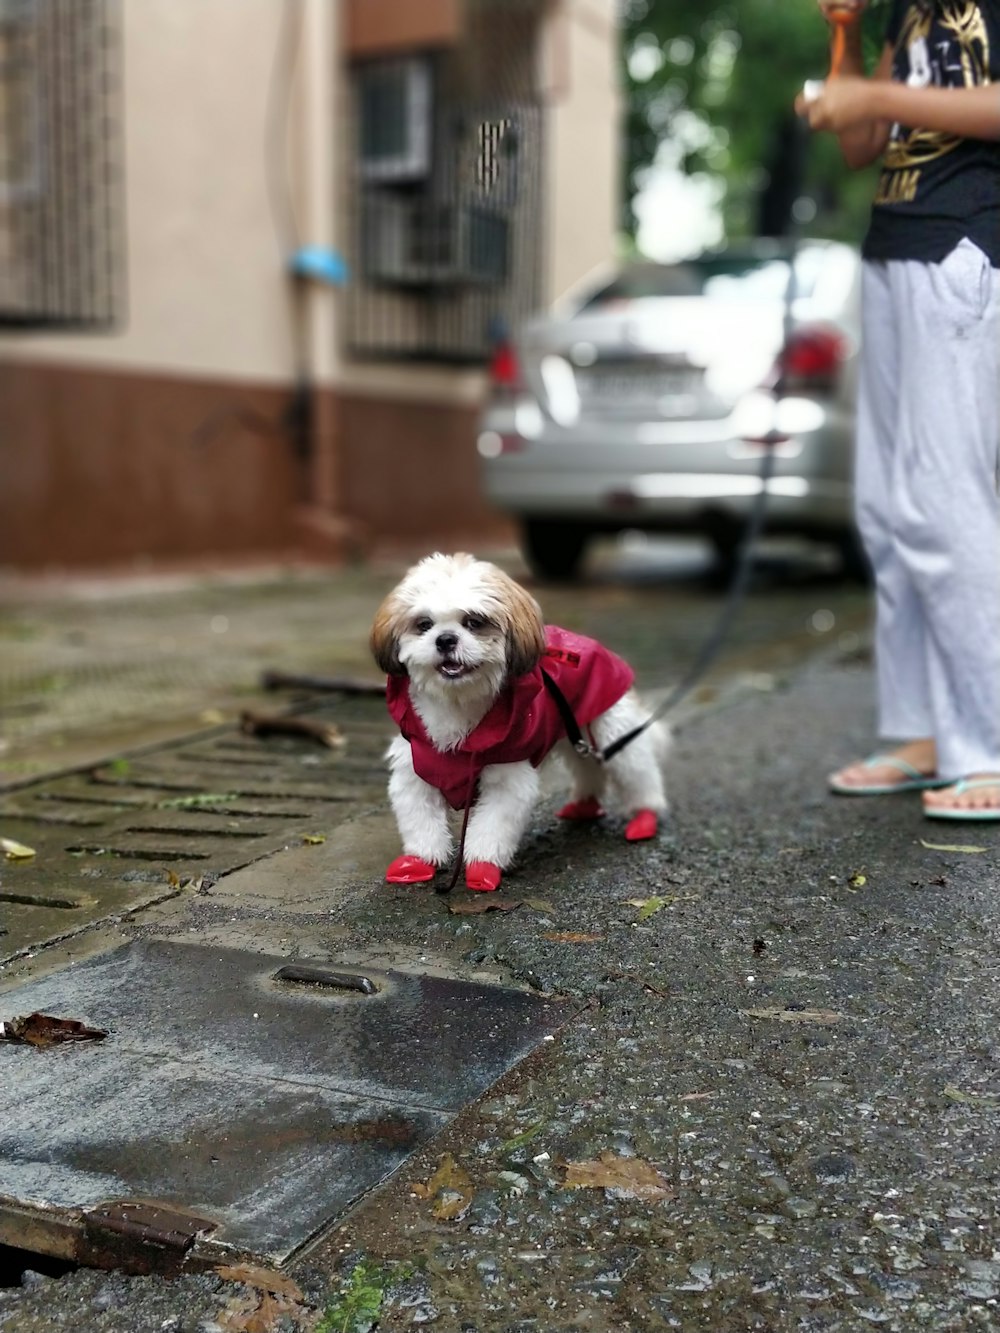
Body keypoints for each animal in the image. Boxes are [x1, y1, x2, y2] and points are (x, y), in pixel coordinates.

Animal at [370, 551, 674, 895]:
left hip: (610, 728)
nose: (445, 639)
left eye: (474, 622)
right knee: (587, 767)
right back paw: (584, 805)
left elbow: (491, 826)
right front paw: (420, 861)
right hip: (572, 733)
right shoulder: (415, 770)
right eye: (424, 624)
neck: (458, 703)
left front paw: (482, 867)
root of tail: (589, 644)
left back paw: (644, 816)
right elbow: (421, 820)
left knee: (636, 771)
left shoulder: (506, 776)